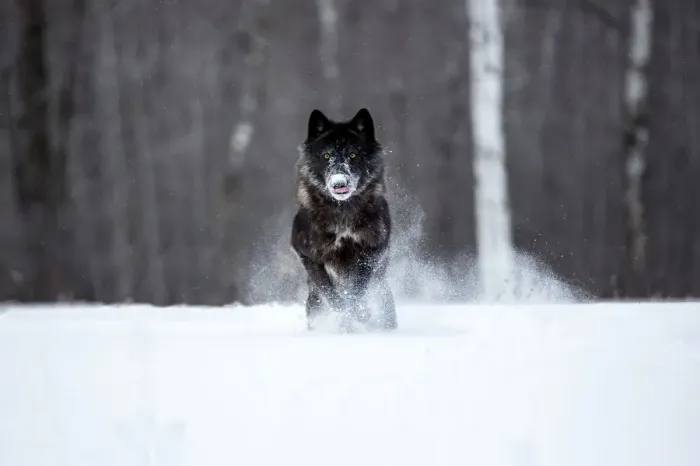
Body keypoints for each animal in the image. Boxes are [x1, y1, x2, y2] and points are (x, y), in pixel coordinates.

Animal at [291, 108, 398, 331]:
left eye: (353, 155)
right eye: (327, 155)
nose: (339, 183)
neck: (342, 214)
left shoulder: (373, 251)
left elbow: (358, 287)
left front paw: (360, 311)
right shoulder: (308, 256)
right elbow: (331, 293)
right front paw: (352, 314)